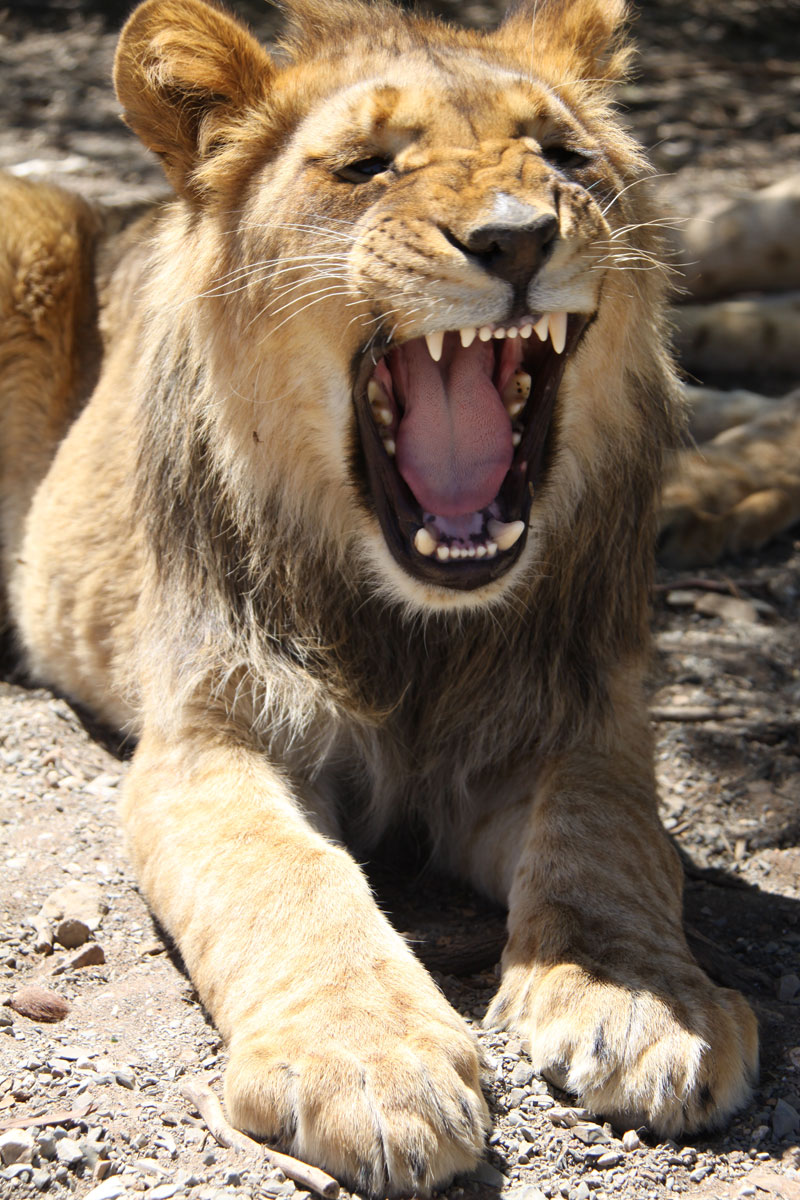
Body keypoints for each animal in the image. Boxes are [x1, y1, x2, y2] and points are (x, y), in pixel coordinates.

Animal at [0, 0, 758, 1190]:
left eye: (563, 158)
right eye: (364, 167)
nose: (516, 238)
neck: (419, 636)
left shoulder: (582, 722)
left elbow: (612, 841)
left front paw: (646, 1004)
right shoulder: (206, 741)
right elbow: (284, 878)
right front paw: (364, 1058)